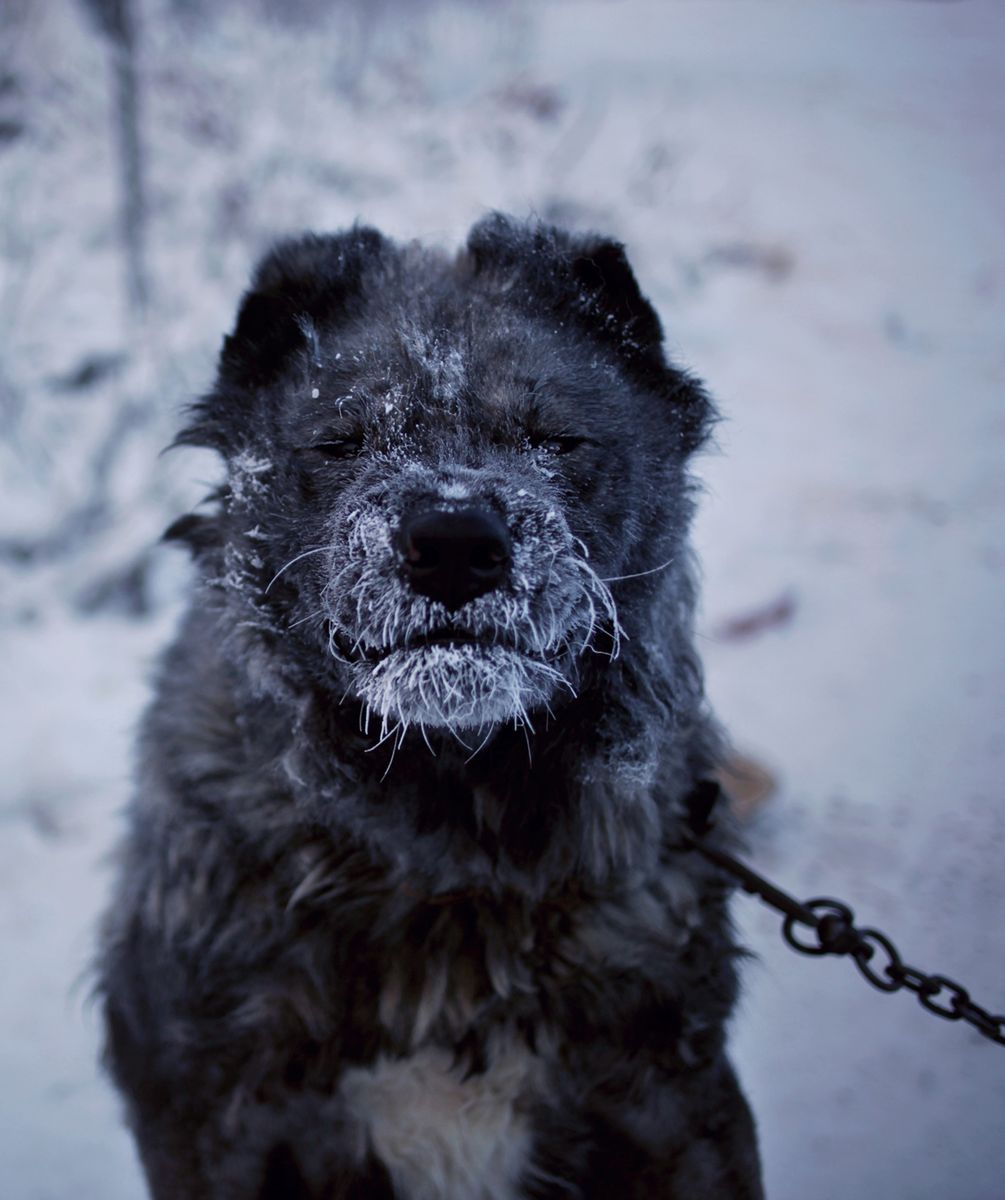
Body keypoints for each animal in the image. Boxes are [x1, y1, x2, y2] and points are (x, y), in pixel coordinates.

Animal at [100, 216, 762, 1200]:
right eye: (339, 440)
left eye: (556, 436)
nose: (453, 543)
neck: (451, 857)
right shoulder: (212, 1122)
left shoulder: (676, 1108)